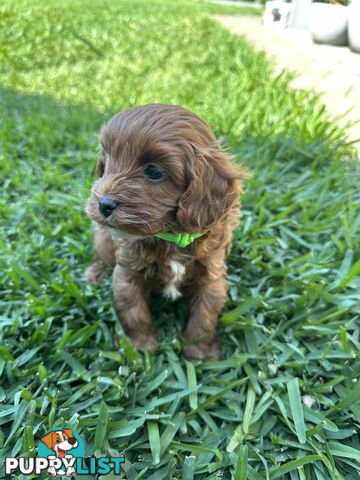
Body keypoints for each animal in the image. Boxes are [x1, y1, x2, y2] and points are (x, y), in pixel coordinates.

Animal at [85, 105, 248, 360]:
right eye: (108, 163)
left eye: (153, 172)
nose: (103, 204)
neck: (171, 235)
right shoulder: (128, 272)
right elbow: (133, 311)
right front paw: (139, 347)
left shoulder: (211, 275)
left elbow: (205, 315)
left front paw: (200, 352)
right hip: (103, 238)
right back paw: (95, 272)